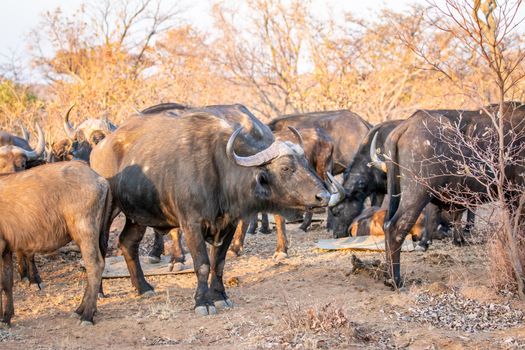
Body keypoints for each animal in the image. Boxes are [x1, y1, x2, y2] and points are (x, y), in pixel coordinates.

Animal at [0, 161, 110, 326]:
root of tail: (99, 178)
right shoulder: (6, 250)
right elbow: (6, 282)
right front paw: (6, 317)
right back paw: (80, 309)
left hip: (85, 233)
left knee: (95, 266)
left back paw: (87, 315)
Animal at [88, 103, 330, 314]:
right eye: (286, 168)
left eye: (305, 163)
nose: (324, 196)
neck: (219, 172)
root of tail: (99, 147)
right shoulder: (191, 224)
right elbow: (203, 264)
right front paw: (203, 302)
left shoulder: (228, 224)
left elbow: (219, 263)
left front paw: (220, 295)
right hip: (109, 211)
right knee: (100, 247)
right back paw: (98, 293)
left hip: (137, 215)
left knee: (128, 243)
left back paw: (143, 287)